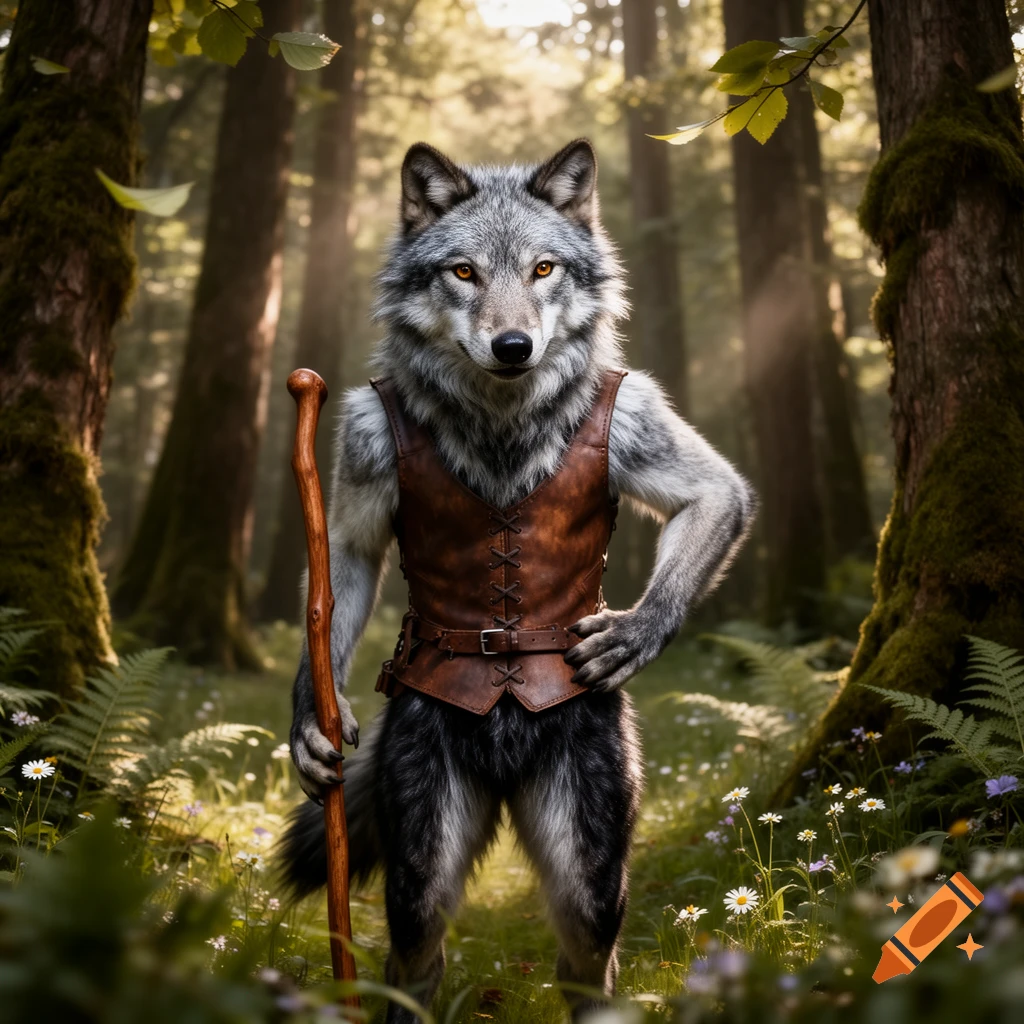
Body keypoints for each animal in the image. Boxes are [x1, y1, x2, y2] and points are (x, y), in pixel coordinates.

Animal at [279, 139, 755, 1021]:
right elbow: (344, 569)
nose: (512, 347)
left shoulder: (645, 419)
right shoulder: (359, 451)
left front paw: (630, 635)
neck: (500, 416)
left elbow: (720, 491)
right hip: (425, 853)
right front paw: (311, 725)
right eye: (464, 272)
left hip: (587, 857)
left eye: (542, 269)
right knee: (417, 951)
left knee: (586, 957)